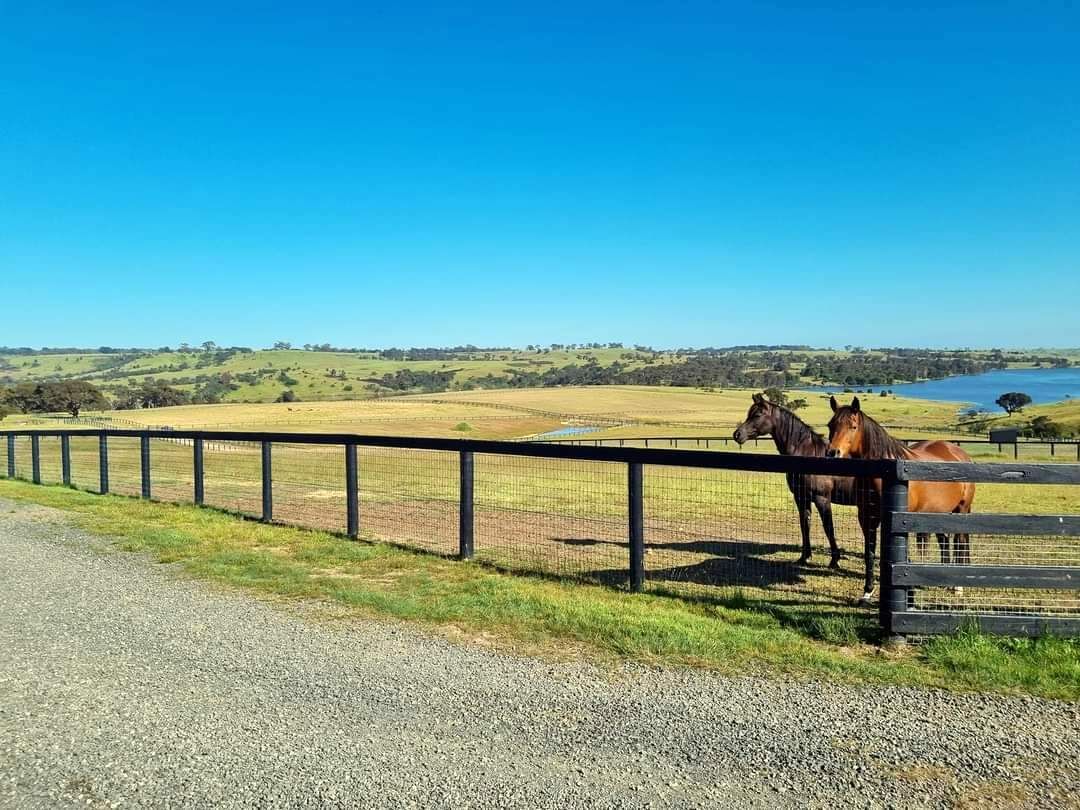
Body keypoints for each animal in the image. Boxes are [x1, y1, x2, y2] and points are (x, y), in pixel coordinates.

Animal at [734, 393, 887, 601]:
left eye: (757, 415)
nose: (737, 435)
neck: (807, 454)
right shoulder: (801, 498)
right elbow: (804, 524)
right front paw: (804, 557)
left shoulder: (822, 499)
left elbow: (828, 528)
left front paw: (834, 560)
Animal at [825, 396, 975, 594]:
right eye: (830, 425)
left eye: (853, 426)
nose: (832, 453)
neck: (886, 474)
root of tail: (961, 454)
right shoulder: (867, 518)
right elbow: (869, 552)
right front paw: (868, 590)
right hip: (939, 512)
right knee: (944, 540)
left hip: (961, 510)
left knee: (960, 541)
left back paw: (957, 586)